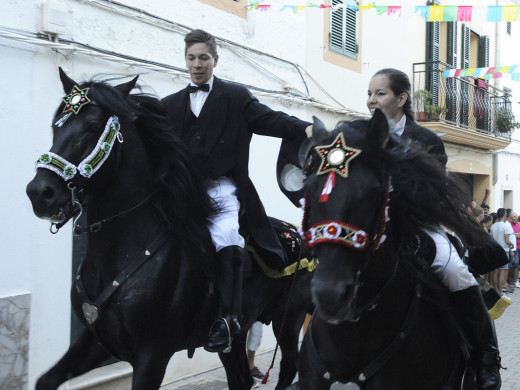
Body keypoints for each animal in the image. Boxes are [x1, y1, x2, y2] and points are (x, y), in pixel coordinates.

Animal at [26, 69, 312, 390]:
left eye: (92, 126)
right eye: (56, 125)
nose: (40, 192)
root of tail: (297, 236)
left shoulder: (152, 353)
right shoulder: (96, 341)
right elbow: (46, 379)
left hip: (288, 319)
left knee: (289, 366)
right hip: (238, 337)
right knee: (241, 377)